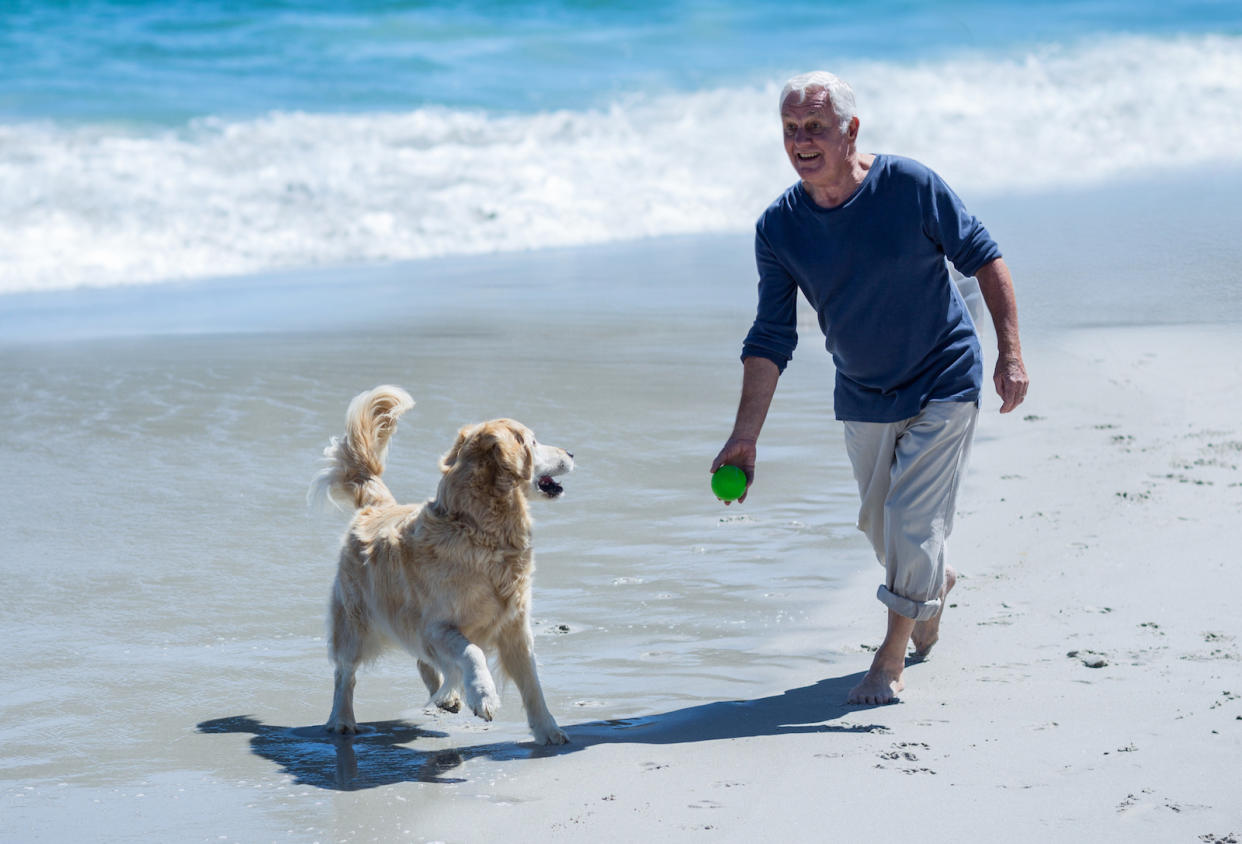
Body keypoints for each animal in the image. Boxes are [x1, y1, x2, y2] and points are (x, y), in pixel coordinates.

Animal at [312, 384, 578, 739]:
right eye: (533, 442)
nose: (571, 453)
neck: (478, 527)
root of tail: (376, 505)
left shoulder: (515, 627)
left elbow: (532, 684)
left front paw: (548, 731)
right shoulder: (437, 625)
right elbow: (471, 652)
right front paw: (484, 696)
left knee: (425, 661)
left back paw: (448, 696)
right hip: (355, 620)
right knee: (345, 673)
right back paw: (341, 719)